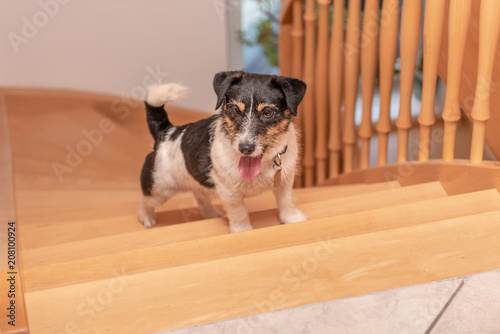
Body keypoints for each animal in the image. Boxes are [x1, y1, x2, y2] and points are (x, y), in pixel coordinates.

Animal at [138, 70, 308, 232]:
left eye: (267, 112)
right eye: (236, 110)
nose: (245, 148)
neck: (264, 161)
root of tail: (166, 132)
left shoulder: (285, 181)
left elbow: (286, 201)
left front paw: (293, 219)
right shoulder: (229, 191)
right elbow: (239, 211)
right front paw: (243, 230)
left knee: (200, 196)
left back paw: (211, 214)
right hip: (159, 190)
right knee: (145, 201)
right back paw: (146, 218)